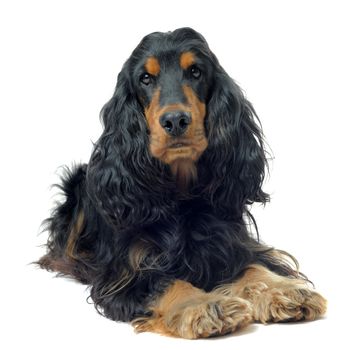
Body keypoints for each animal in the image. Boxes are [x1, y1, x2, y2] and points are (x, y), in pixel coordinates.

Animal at [37, 27, 326, 340]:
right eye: (145, 78)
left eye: (195, 71)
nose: (175, 120)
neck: (182, 195)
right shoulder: (126, 276)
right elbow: (167, 282)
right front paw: (204, 306)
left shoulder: (229, 242)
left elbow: (253, 264)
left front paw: (283, 291)